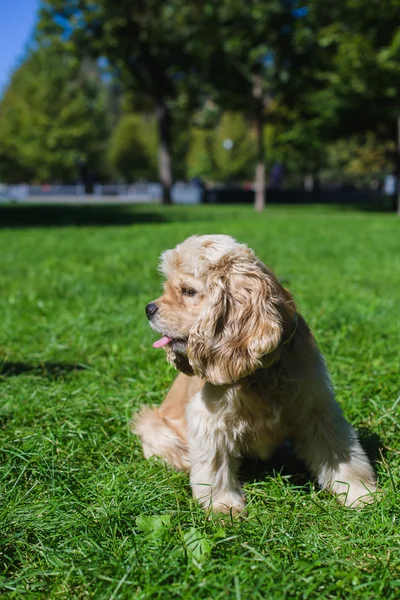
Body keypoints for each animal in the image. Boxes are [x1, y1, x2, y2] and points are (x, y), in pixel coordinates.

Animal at [133, 232, 376, 512]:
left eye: (188, 291)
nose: (148, 309)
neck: (262, 374)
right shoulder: (209, 420)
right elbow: (214, 467)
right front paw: (223, 506)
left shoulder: (317, 408)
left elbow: (341, 452)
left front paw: (359, 493)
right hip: (153, 426)